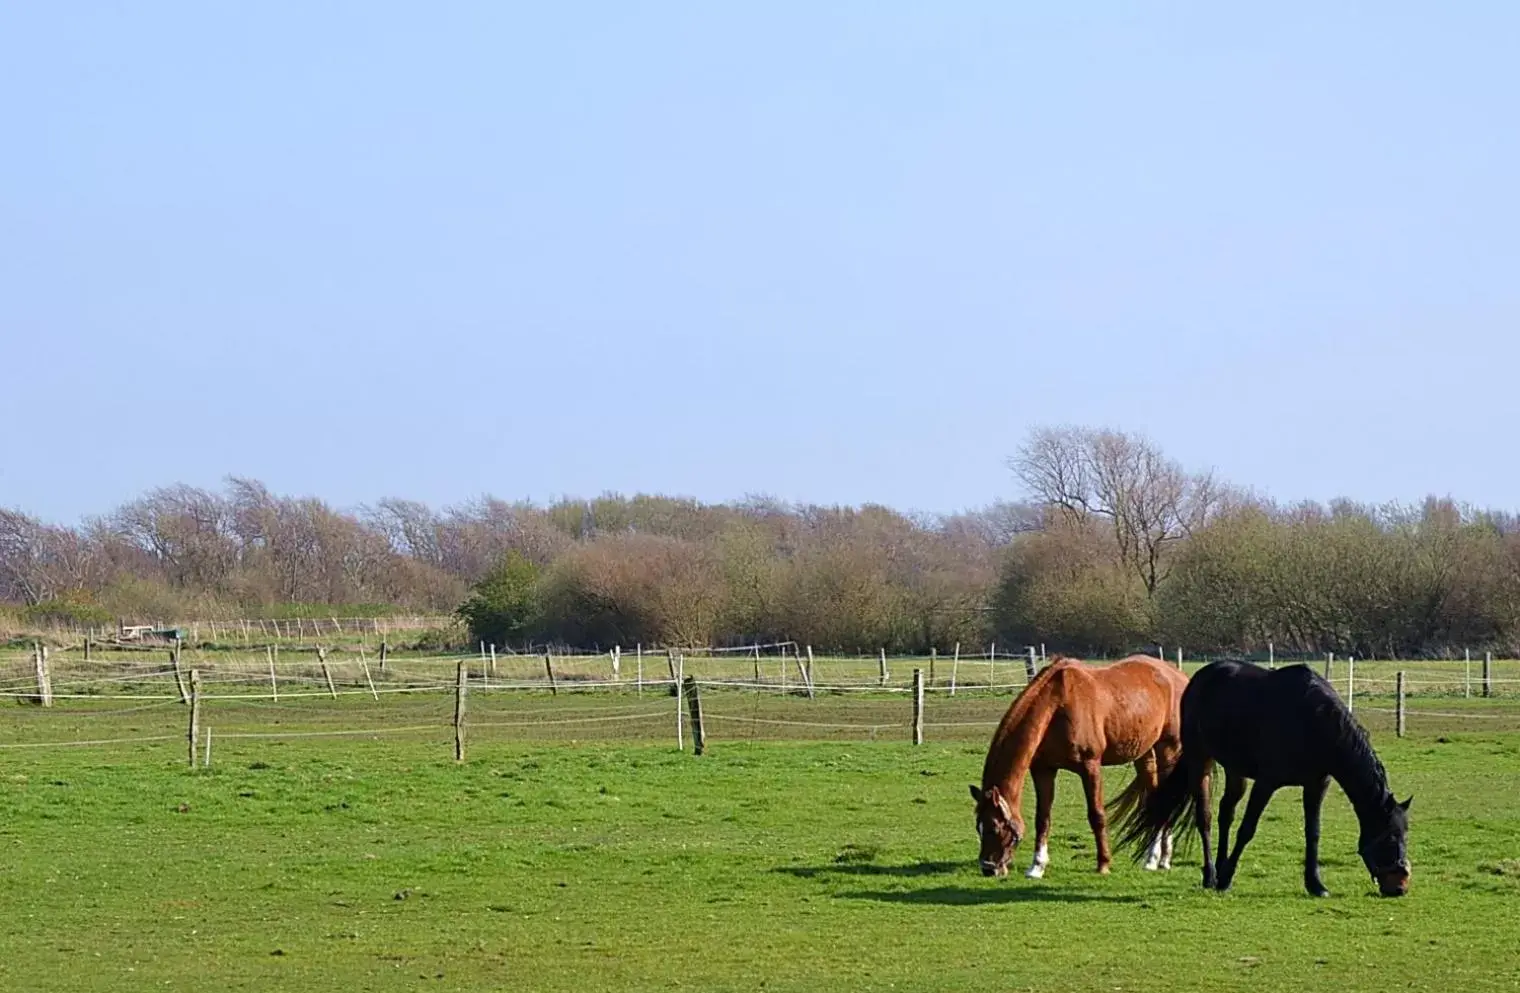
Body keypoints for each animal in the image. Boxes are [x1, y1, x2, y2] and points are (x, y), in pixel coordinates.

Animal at [966, 653, 1191, 881]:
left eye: (994, 828)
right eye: (978, 826)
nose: (988, 868)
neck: (1058, 704)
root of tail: (1177, 675)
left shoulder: (1090, 767)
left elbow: (1096, 815)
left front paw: (1103, 864)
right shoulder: (1043, 770)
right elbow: (1043, 818)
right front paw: (1037, 866)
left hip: (1167, 749)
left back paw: (1163, 859)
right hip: (1144, 755)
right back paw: (1153, 858)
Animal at [1118, 656, 1410, 900]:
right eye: (1390, 837)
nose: (1400, 886)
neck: (1312, 721)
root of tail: (1199, 677)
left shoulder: (1316, 784)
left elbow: (1313, 833)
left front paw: (1315, 884)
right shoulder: (1267, 782)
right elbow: (1248, 829)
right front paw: (1226, 878)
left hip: (1235, 770)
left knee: (1226, 812)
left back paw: (1220, 867)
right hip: (1200, 759)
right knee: (1206, 818)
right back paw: (1211, 875)